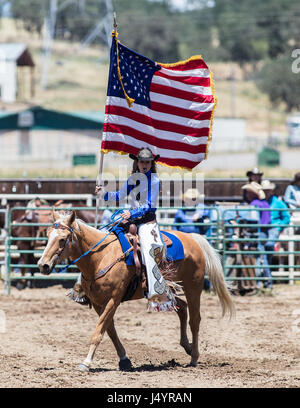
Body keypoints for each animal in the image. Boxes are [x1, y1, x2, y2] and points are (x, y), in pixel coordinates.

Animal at [38, 210, 234, 370]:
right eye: (48, 235)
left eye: (62, 239)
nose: (43, 265)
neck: (100, 257)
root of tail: (193, 238)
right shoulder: (97, 303)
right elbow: (109, 330)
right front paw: (124, 360)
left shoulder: (113, 300)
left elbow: (99, 331)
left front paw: (86, 363)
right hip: (166, 291)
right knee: (182, 308)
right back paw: (187, 346)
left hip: (193, 287)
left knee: (195, 319)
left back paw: (194, 357)